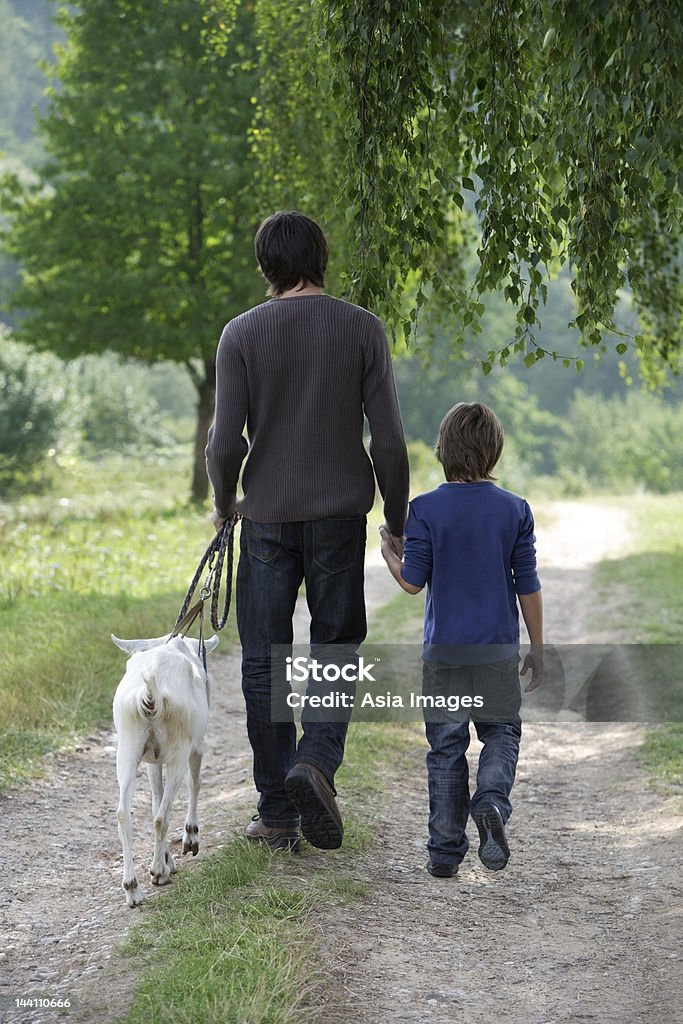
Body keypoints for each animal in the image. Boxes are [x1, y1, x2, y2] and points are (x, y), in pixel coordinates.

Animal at [112, 630, 218, 905]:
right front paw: (190, 839)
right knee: (162, 817)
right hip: (178, 751)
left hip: (127, 748)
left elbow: (154, 800)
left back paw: (132, 888)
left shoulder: (152, 760)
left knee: (124, 814)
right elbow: (195, 783)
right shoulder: (196, 746)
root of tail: (150, 695)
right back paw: (158, 872)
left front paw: (169, 859)